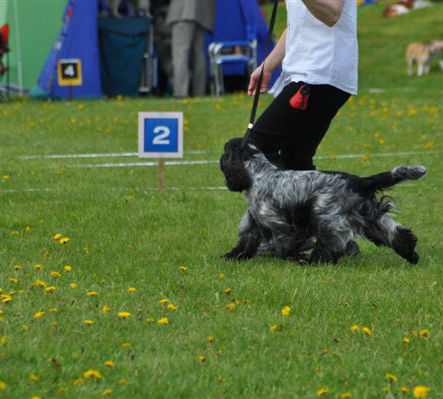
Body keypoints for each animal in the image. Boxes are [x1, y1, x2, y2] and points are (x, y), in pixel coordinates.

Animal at [220, 138, 428, 266]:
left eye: (225, 152)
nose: (220, 158)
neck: (258, 174)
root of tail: (358, 181)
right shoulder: (255, 222)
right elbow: (245, 242)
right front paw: (230, 256)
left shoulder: (278, 223)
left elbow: (286, 245)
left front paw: (298, 258)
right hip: (368, 216)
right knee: (398, 234)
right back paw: (412, 255)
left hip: (327, 216)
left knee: (331, 244)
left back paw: (316, 261)